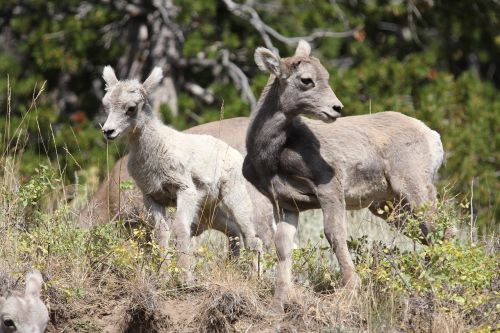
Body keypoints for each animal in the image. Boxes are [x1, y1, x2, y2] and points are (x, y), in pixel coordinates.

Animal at [100, 65, 264, 278]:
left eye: (131, 108)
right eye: (106, 105)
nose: (108, 131)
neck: (156, 150)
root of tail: (234, 154)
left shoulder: (184, 191)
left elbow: (180, 228)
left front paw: (185, 276)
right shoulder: (152, 197)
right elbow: (161, 233)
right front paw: (163, 275)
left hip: (236, 199)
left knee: (253, 239)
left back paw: (256, 278)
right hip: (209, 210)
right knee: (234, 233)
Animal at [244, 41, 444, 312]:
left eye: (326, 77)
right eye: (306, 80)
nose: (336, 108)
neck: (271, 155)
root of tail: (432, 136)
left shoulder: (329, 188)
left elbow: (335, 235)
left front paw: (349, 290)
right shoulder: (287, 204)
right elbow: (283, 246)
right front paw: (277, 305)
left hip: (416, 190)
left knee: (441, 230)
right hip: (392, 207)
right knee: (427, 235)